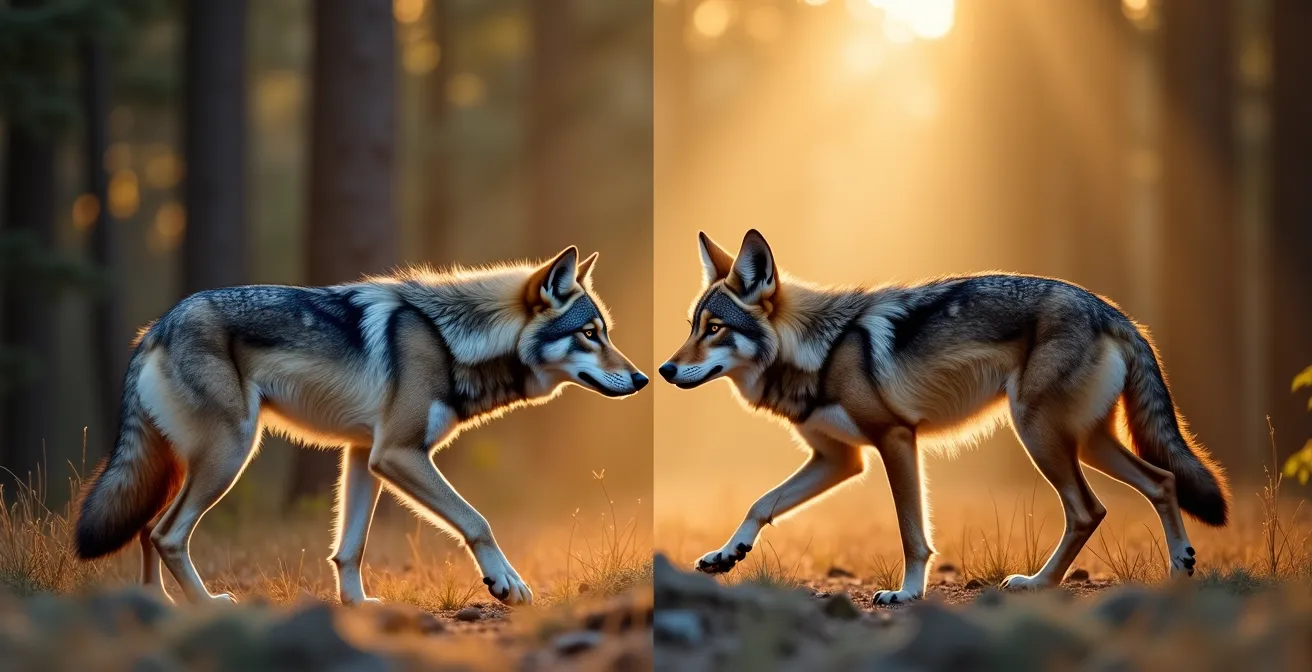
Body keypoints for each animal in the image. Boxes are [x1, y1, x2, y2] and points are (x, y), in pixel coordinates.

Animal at [75, 246, 647, 606]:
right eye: (589, 334)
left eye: (605, 332)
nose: (642, 378)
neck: (449, 341)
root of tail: (155, 328)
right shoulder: (397, 453)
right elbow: (477, 519)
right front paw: (506, 583)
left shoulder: (362, 456)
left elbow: (349, 548)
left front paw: (357, 604)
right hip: (231, 454)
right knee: (167, 534)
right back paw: (204, 605)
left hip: (187, 466)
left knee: (147, 529)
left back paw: (155, 607)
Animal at [659, 230, 1230, 603]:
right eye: (691, 326)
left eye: (714, 328)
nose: (664, 370)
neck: (820, 351)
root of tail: (1113, 311)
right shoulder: (840, 460)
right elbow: (761, 504)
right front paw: (725, 555)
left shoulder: (895, 439)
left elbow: (912, 533)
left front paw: (907, 594)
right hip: (1086, 443)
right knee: (1160, 482)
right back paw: (1173, 571)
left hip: (1041, 436)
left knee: (1089, 509)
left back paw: (1042, 584)